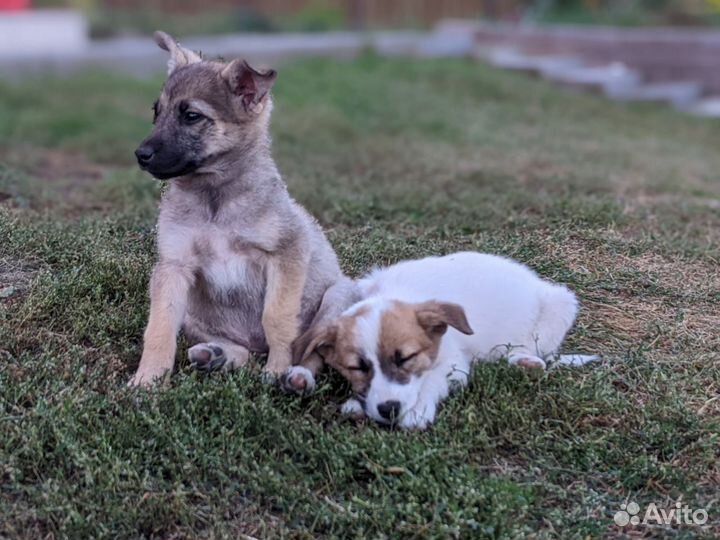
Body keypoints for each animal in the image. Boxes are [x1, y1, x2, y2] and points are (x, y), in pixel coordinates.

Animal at [129, 31, 358, 386]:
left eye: (191, 116)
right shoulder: (173, 267)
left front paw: (277, 369)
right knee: (241, 352)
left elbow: (278, 319)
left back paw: (297, 377)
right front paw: (148, 378)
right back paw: (217, 355)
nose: (141, 155)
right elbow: (159, 328)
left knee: (315, 351)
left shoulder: (287, 253)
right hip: (193, 313)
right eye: (157, 112)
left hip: (338, 295)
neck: (215, 199)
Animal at [286, 253, 596, 430]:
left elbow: (432, 380)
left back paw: (525, 361)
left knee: (538, 352)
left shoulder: (454, 364)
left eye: (407, 358)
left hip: (561, 303)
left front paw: (417, 409)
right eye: (357, 367)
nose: (389, 409)